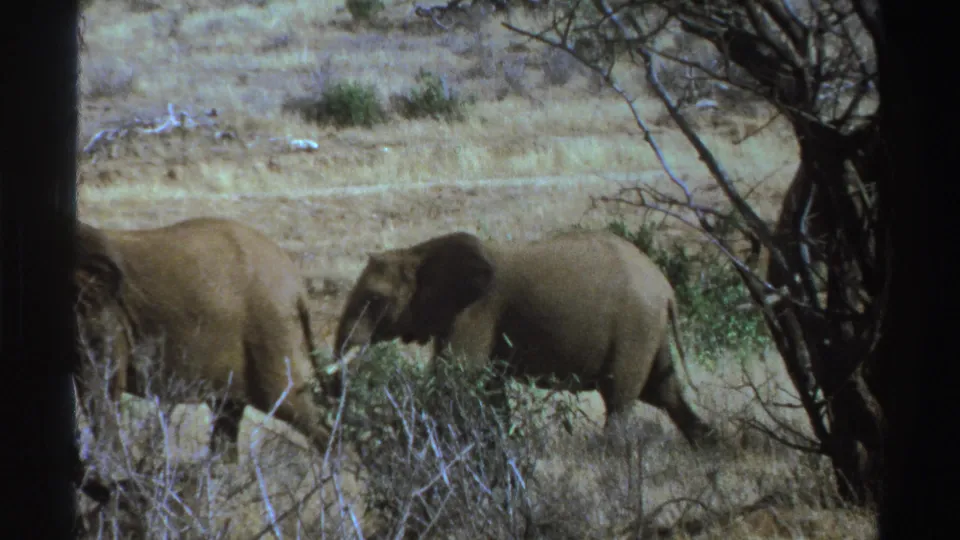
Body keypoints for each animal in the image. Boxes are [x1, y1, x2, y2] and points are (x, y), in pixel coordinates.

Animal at [74, 217, 333, 462]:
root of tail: (297, 284)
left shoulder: (99, 313)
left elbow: (99, 389)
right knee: (227, 415)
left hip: (270, 330)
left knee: (288, 403)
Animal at [332, 229, 717, 448]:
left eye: (375, 300)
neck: (418, 251)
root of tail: (666, 289)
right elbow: (484, 386)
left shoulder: (477, 311)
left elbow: (457, 378)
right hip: (650, 329)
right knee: (663, 390)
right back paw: (709, 447)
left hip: (636, 326)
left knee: (621, 397)